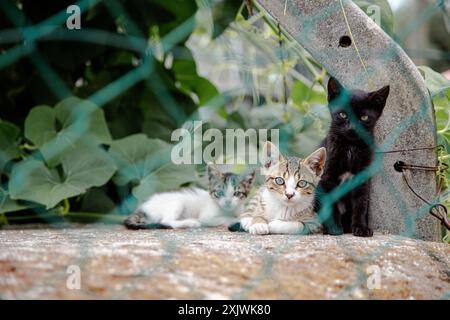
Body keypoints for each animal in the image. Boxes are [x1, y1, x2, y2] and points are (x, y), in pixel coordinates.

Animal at [125, 165, 255, 230]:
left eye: (237, 193)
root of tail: (143, 208)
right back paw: (190, 223)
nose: (228, 202)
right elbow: (226, 218)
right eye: (220, 192)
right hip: (177, 202)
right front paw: (239, 220)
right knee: (165, 221)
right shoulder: (207, 217)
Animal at [312, 78, 390, 238]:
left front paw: (361, 228)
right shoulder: (327, 177)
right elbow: (331, 204)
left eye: (364, 118)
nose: (352, 128)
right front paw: (334, 228)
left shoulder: (362, 178)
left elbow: (361, 204)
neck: (350, 147)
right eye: (343, 114)